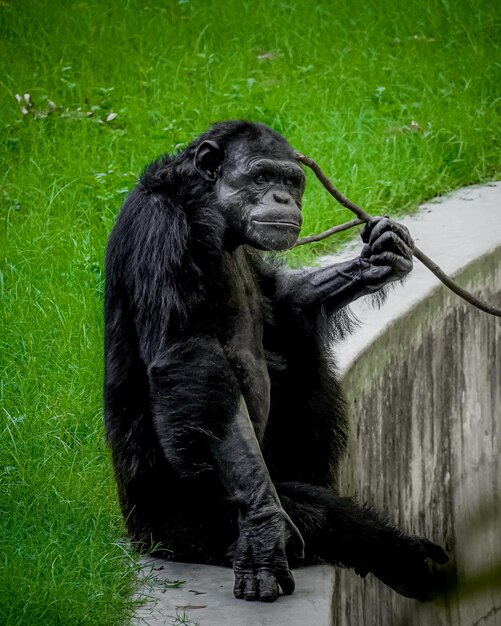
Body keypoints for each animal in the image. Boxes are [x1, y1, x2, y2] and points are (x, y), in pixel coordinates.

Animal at [103, 119, 448, 604]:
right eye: (262, 176)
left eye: (291, 181)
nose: (282, 198)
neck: (211, 213)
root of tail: (136, 535)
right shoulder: (163, 230)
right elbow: (191, 360)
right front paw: (264, 529)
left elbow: (279, 305)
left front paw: (379, 258)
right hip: (180, 526)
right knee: (308, 513)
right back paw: (401, 557)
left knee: (297, 350)